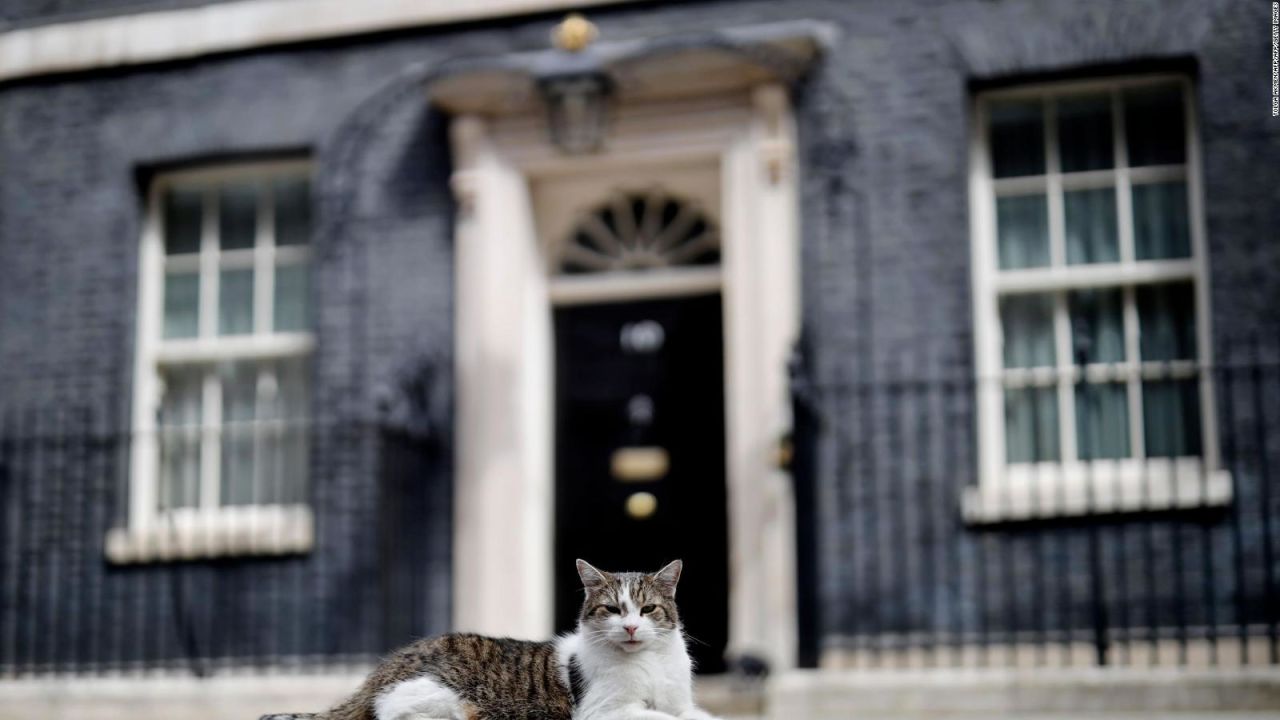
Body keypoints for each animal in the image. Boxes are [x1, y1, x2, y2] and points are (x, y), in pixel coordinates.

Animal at [262, 561, 721, 717]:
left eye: (647, 610)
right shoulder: (605, 713)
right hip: (444, 701)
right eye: (612, 610)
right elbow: (660, 718)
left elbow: (695, 716)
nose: (629, 628)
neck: (649, 664)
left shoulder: (681, 704)